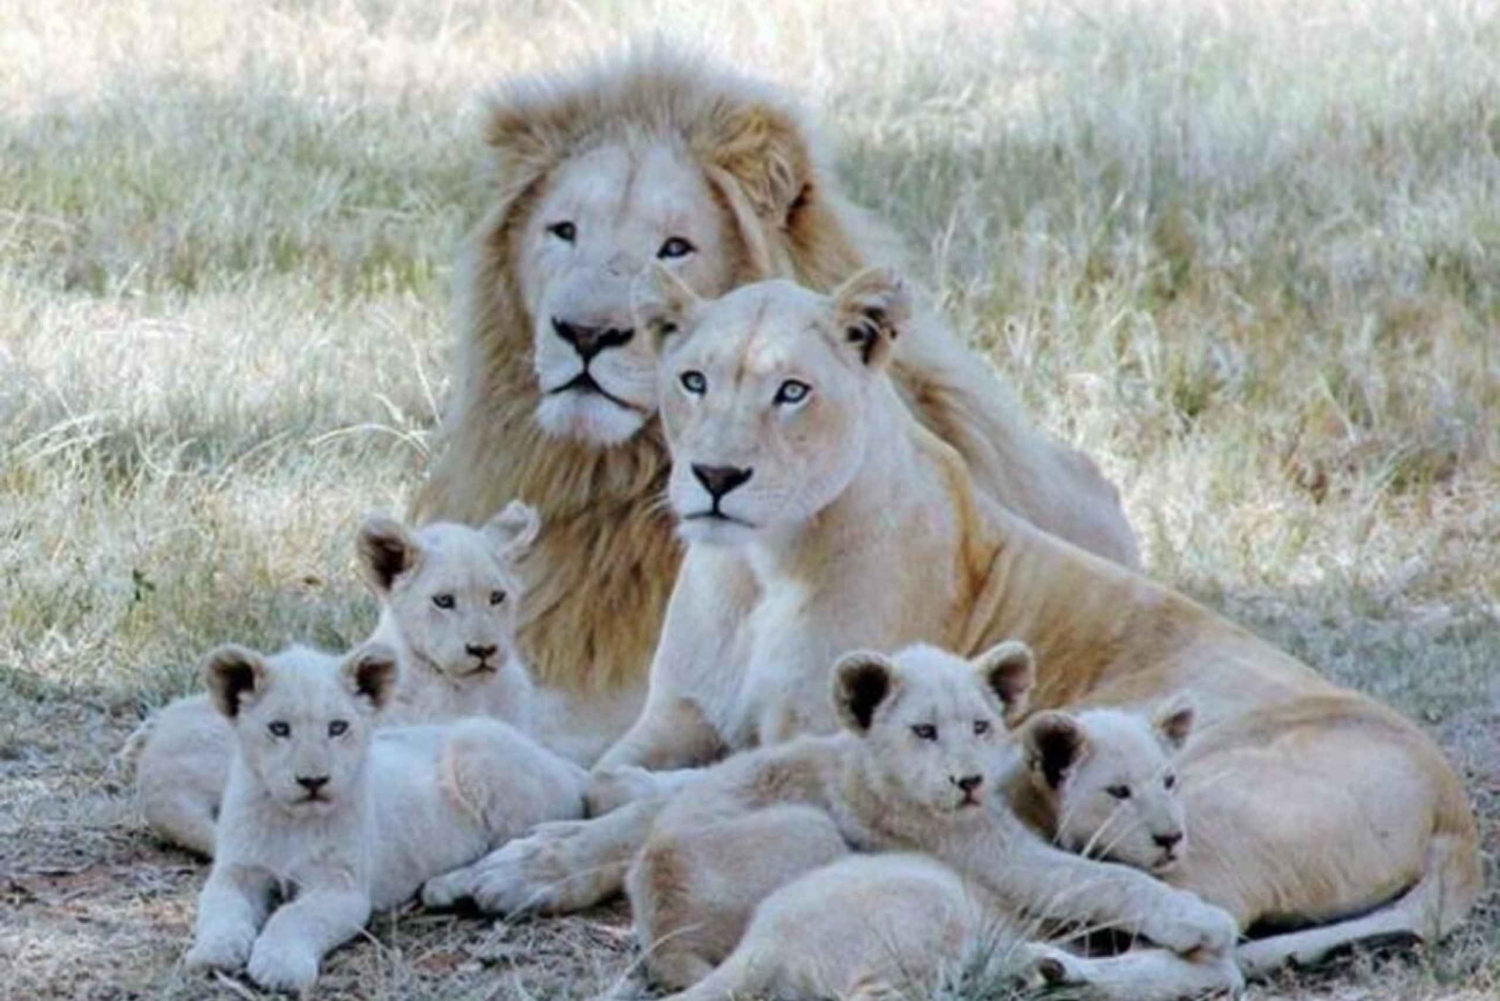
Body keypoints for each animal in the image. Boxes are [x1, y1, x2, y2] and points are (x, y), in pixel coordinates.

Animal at [183, 641, 585, 994]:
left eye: (337, 727)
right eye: (279, 728)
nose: (313, 781)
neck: (291, 821)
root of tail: (560, 763)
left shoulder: (342, 889)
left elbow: (294, 917)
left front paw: (279, 967)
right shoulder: (237, 871)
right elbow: (219, 907)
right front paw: (212, 952)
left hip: (477, 742)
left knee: (513, 845)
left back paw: (448, 886)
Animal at [623, 642, 1242, 1001]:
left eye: (1170, 781)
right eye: (1118, 792)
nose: (1171, 838)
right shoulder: (999, 855)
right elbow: (1102, 880)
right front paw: (1199, 920)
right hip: (849, 852)